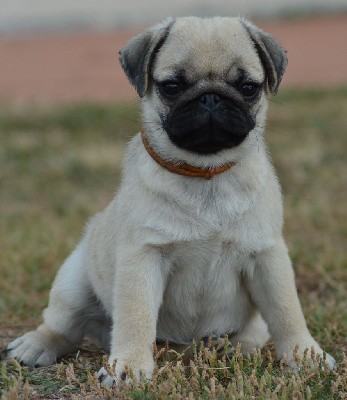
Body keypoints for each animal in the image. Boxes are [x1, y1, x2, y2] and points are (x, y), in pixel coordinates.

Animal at [6, 15, 336, 384]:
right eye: (172, 87)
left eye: (248, 87)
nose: (210, 98)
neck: (205, 173)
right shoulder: (143, 256)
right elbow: (135, 317)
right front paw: (128, 367)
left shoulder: (267, 255)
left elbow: (286, 310)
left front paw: (305, 355)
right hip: (73, 281)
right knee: (63, 325)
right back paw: (34, 345)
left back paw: (231, 345)